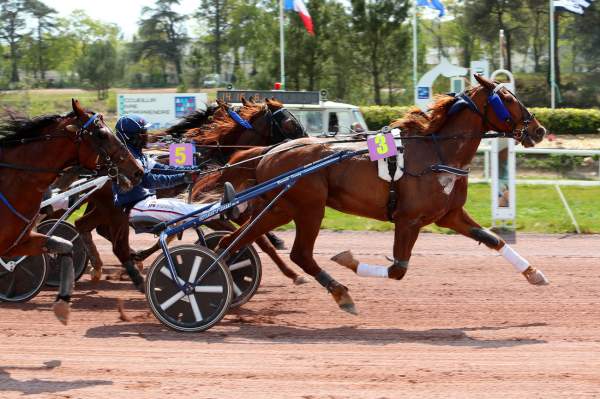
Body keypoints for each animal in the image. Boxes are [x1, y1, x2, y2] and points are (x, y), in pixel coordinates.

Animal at [196, 76, 548, 316]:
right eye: (507, 98)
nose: (539, 130)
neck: (435, 153)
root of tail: (270, 151)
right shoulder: (408, 220)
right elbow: (397, 269)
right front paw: (348, 260)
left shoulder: (449, 215)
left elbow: (494, 240)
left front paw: (535, 273)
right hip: (309, 208)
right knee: (299, 254)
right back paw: (340, 293)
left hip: (281, 207)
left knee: (235, 241)